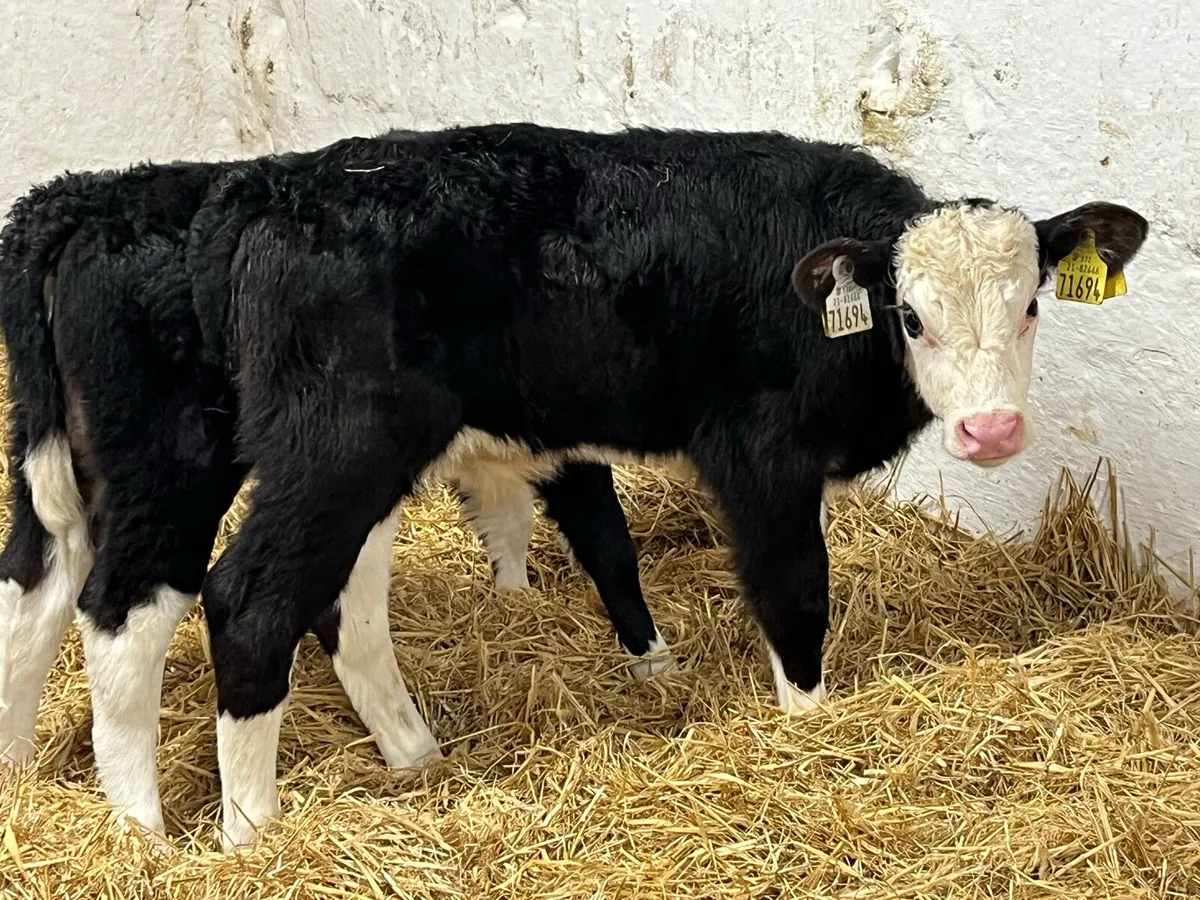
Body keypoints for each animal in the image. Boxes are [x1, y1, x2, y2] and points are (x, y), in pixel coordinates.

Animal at [0, 140, 666, 838]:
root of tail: (79, 201)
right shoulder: (565, 439)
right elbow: (607, 544)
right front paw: (654, 663)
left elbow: (508, 524)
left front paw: (515, 600)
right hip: (187, 463)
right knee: (138, 607)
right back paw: (149, 827)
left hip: (59, 455)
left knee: (32, 581)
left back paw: (20, 775)